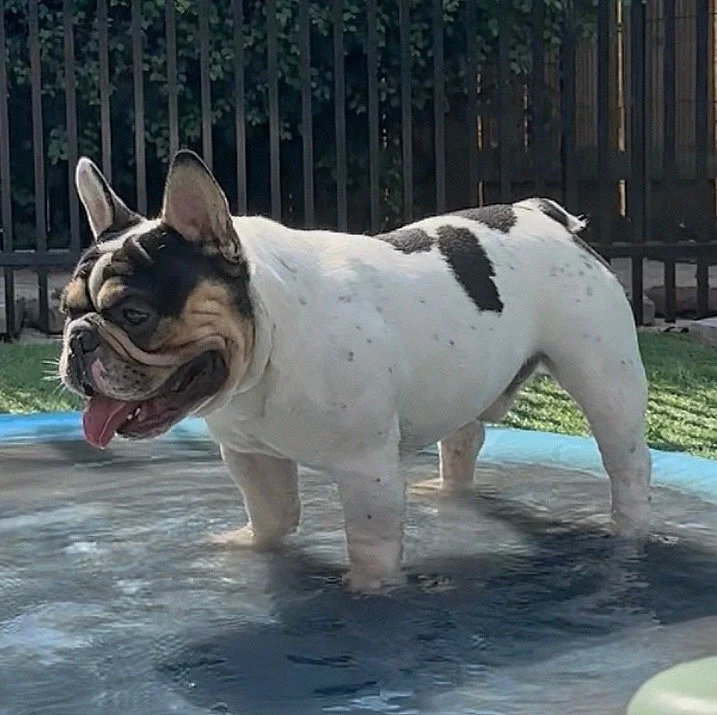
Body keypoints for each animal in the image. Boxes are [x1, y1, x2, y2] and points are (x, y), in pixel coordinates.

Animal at [59, 150, 651, 591]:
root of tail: (542, 214)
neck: (268, 345)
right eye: (66, 309)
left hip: (606, 381)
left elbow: (370, 544)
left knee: (627, 465)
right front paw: (249, 549)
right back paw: (448, 492)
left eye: (134, 315)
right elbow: (271, 517)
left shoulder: (367, 469)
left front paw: (367, 592)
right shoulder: (251, 456)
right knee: (464, 439)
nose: (79, 340)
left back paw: (628, 533)